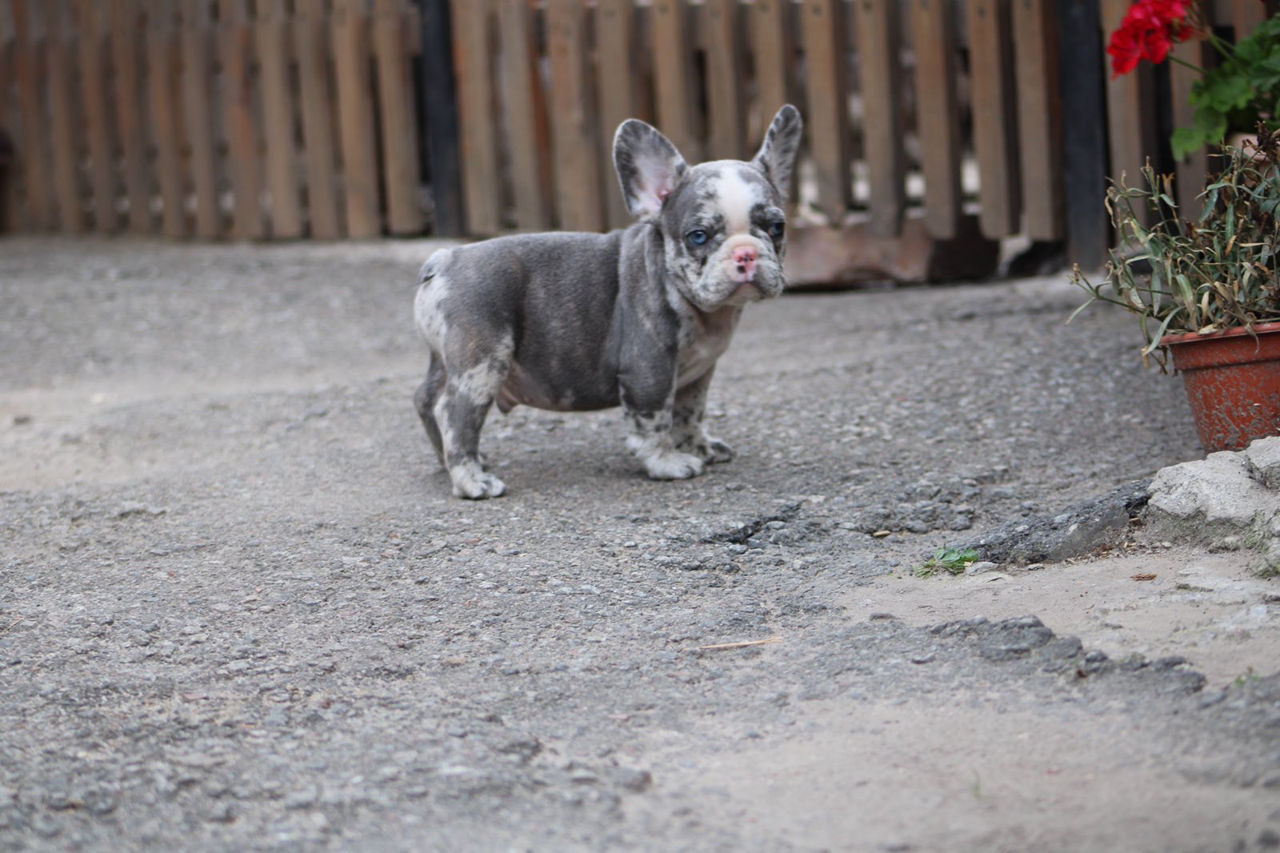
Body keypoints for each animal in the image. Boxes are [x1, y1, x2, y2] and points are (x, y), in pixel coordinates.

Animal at [414, 103, 803, 494]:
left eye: (777, 228)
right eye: (698, 236)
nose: (745, 253)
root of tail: (444, 260)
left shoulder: (696, 376)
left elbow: (689, 413)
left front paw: (699, 447)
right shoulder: (648, 371)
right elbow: (655, 422)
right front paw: (667, 463)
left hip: (447, 360)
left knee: (426, 400)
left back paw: (451, 463)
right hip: (482, 364)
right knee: (454, 413)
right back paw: (471, 480)